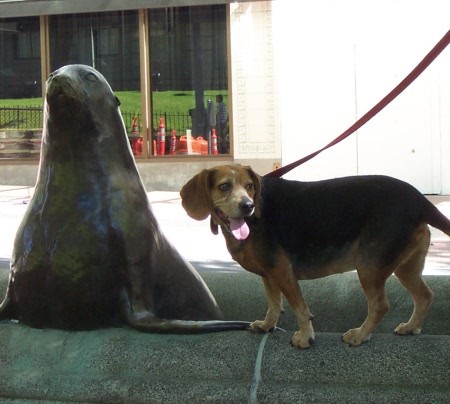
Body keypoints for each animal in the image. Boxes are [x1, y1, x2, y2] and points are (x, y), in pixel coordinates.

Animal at [180, 164, 450, 348]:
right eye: (224, 186)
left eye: (249, 186)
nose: (248, 206)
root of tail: (420, 200)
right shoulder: (268, 274)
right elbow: (274, 303)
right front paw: (267, 326)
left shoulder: (282, 271)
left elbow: (299, 307)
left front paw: (304, 337)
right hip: (405, 267)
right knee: (425, 295)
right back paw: (411, 327)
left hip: (369, 266)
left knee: (380, 305)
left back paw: (360, 335)